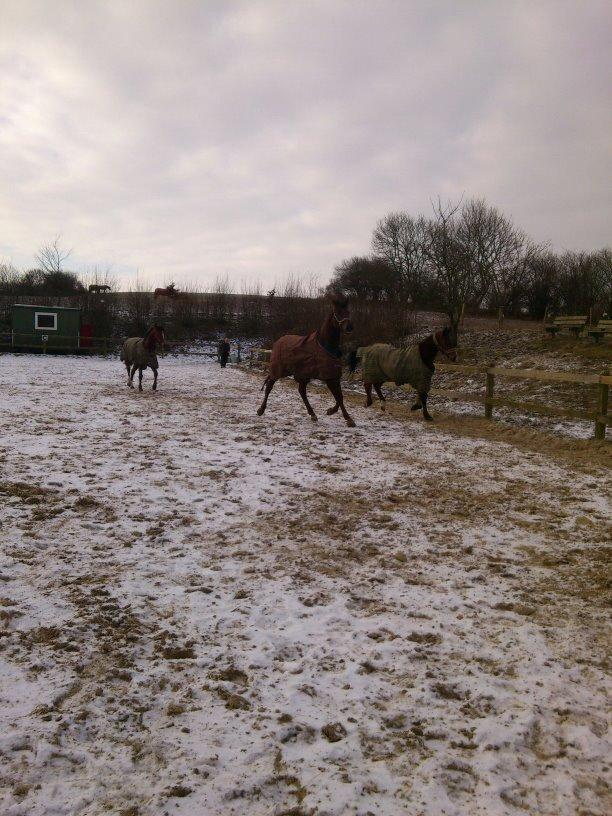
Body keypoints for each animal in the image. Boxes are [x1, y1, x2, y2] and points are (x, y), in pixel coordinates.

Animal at [256, 292, 356, 428]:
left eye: (348, 312)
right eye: (337, 312)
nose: (349, 327)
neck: (326, 345)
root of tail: (278, 341)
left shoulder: (334, 375)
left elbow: (339, 397)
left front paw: (332, 411)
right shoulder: (328, 377)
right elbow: (338, 397)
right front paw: (347, 418)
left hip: (302, 375)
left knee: (302, 392)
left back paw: (312, 414)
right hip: (277, 371)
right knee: (269, 387)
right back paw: (261, 410)